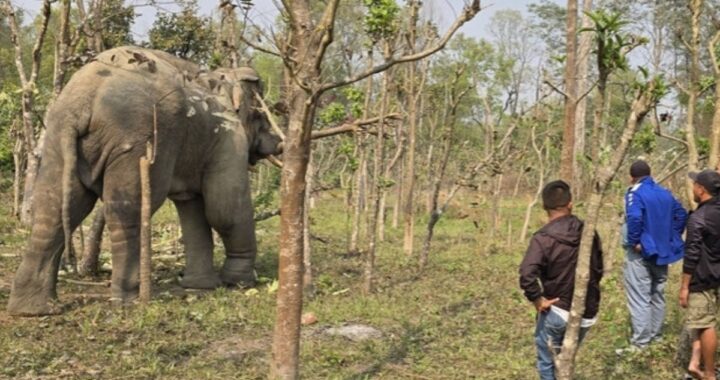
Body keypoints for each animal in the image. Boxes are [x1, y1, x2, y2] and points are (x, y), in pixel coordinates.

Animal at [6, 46, 282, 316]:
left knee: (53, 208)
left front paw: (200, 286)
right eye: (261, 115)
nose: (279, 143)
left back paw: (33, 310)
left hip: (58, 137)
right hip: (136, 138)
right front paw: (240, 282)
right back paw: (128, 301)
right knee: (128, 212)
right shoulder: (228, 138)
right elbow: (224, 208)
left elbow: (192, 210)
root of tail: (83, 99)